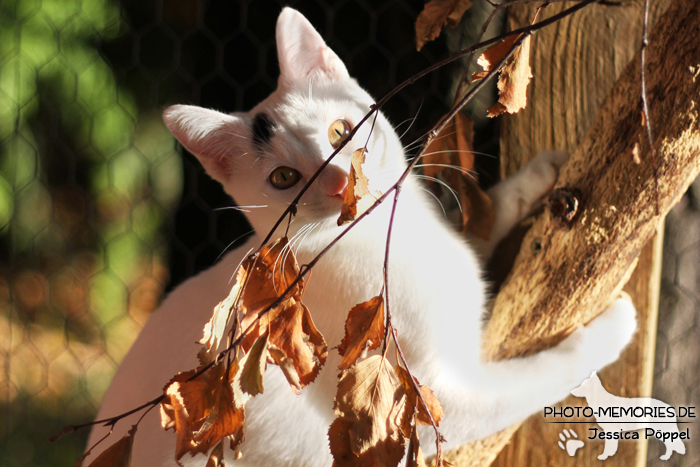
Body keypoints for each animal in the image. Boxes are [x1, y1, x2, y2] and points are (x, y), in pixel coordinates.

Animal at [85, 7, 636, 467]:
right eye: (285, 178)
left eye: (341, 133)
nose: (339, 183)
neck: (396, 238)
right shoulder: (431, 399)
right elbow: (531, 383)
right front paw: (608, 334)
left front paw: (535, 181)